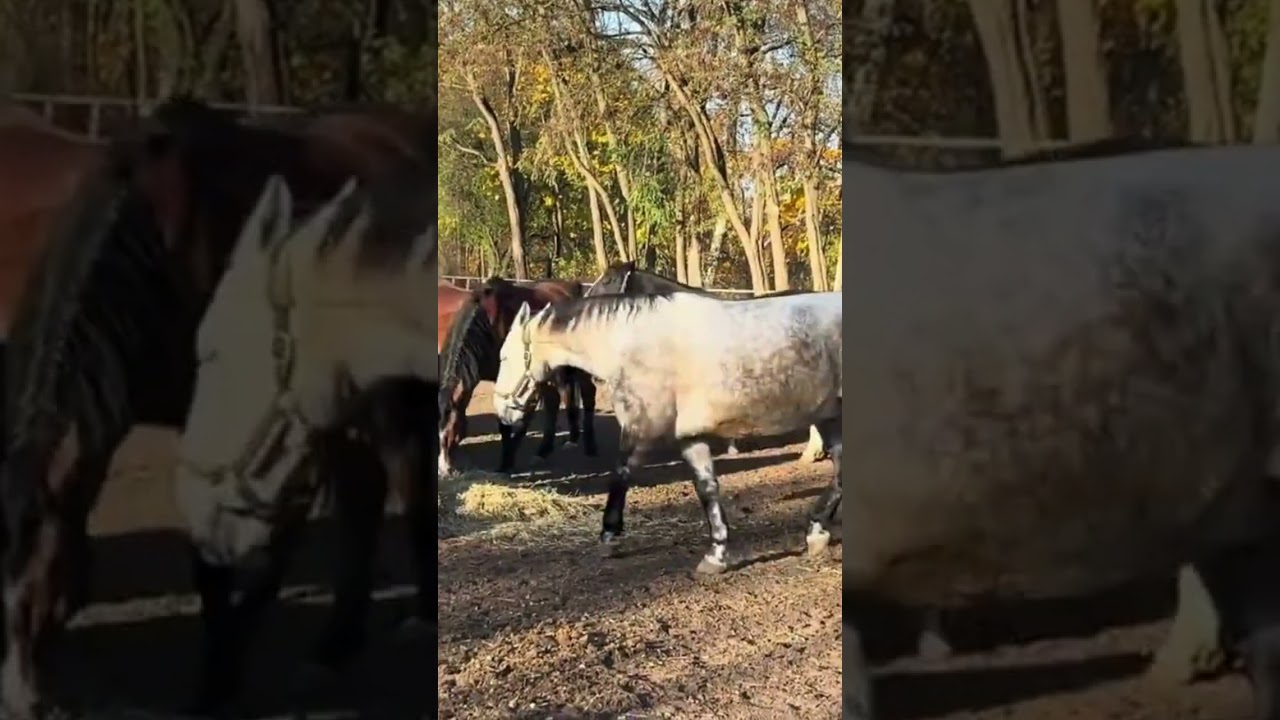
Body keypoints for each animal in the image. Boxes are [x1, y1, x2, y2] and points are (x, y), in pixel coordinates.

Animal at [0, 97, 435, 719]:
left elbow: (217, 559)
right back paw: (334, 648)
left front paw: (218, 679)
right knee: (369, 490)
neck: (161, 250)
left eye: (46, 586)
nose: (20, 706)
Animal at [437, 276, 598, 476]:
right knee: (555, 400)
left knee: (588, 392)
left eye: (452, 429)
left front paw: (507, 460)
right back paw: (547, 449)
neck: (489, 325)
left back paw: (590, 446)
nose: (443, 470)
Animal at [490, 292, 842, 572]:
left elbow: (620, 474)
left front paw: (609, 537)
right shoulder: (689, 439)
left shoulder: (640, 429)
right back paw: (816, 531)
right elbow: (707, 489)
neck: (630, 345)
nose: (503, 412)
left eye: (504, 356)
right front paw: (716, 555)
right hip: (830, 418)